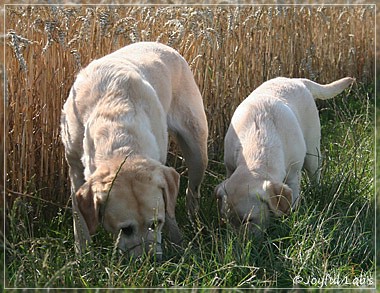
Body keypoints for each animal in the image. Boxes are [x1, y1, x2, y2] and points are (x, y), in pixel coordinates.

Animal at [60, 41, 208, 258]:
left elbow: (169, 211)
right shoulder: (75, 170)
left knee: (192, 191)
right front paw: (82, 256)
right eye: (126, 229)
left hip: (197, 151)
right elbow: (80, 222)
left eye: (156, 223)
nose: (150, 262)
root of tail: (161, 44)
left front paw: (178, 242)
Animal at [215, 76, 354, 234]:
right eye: (226, 221)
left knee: (315, 173)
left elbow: (292, 200)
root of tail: (298, 80)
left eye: (249, 220)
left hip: (312, 151)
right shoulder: (229, 167)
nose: (238, 242)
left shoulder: (293, 175)